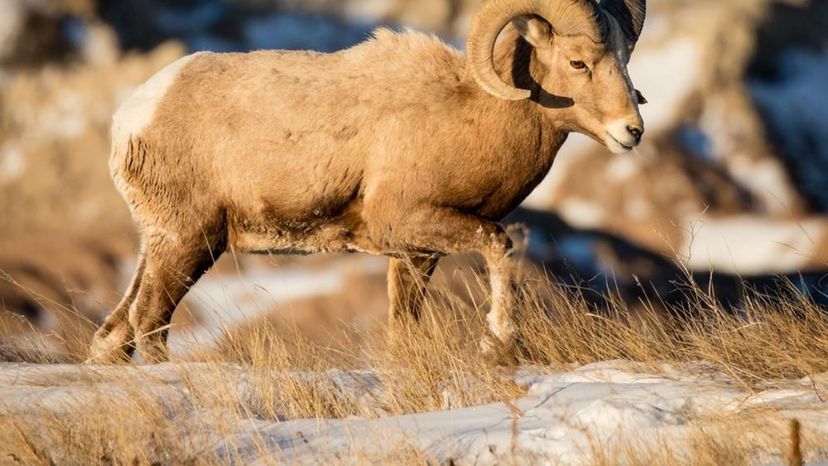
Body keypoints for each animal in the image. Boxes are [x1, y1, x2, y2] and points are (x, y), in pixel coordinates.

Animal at [89, 0, 648, 364]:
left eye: (624, 63)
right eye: (578, 63)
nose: (632, 131)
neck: (471, 112)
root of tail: (131, 118)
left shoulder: (414, 255)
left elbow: (404, 330)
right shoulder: (415, 222)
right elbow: (499, 245)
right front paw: (499, 343)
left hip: (164, 247)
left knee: (116, 334)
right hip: (188, 243)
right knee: (149, 324)